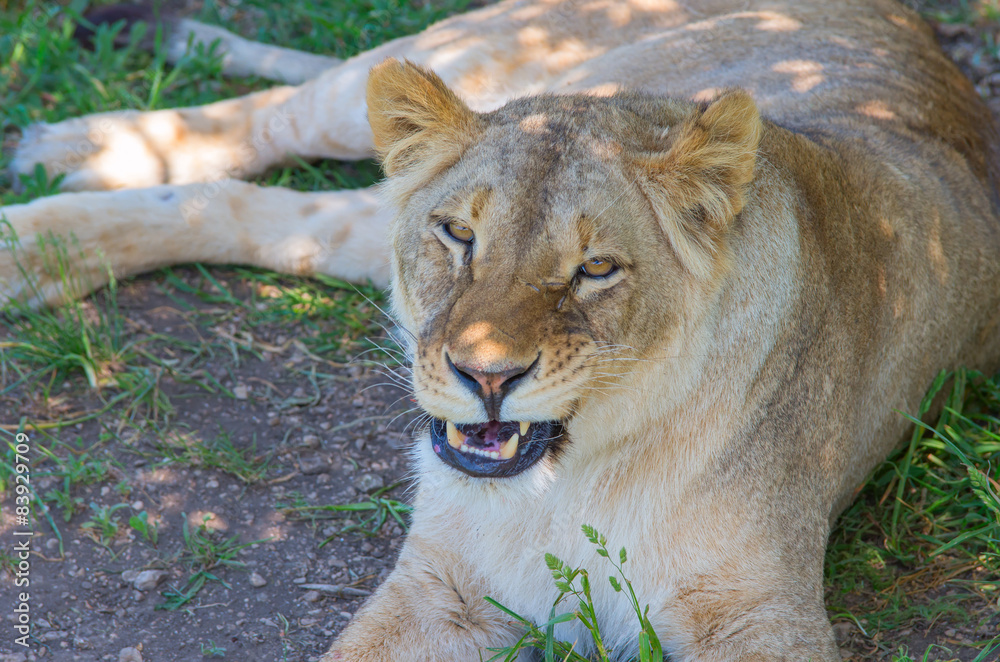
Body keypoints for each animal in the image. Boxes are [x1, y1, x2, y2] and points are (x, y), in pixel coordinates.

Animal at [4, 0, 1000, 659]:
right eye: (458, 235)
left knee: (261, 208)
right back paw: (63, 158)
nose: (485, 377)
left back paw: (38, 241)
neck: (566, 484)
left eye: (595, 268)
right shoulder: (435, 588)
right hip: (466, 52)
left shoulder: (763, 615)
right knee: (269, 122)